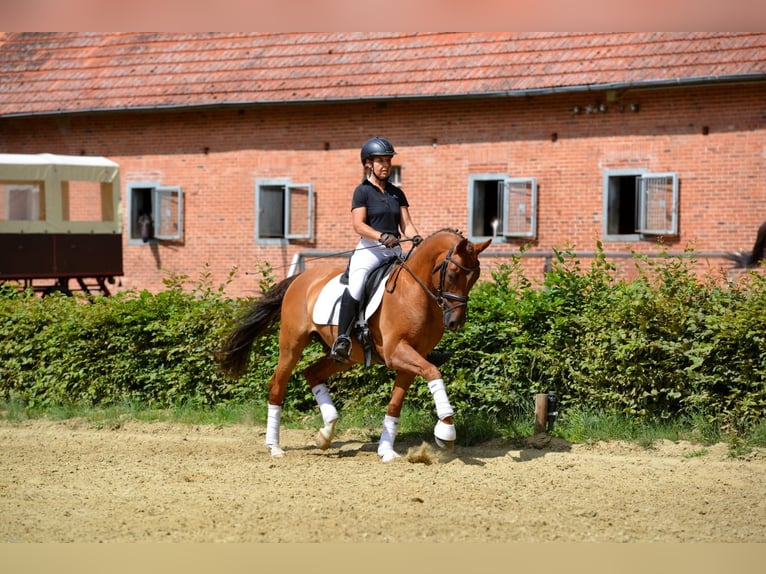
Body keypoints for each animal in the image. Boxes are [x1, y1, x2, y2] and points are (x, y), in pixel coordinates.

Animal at [217, 228, 492, 462]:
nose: (455, 322)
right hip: (292, 344)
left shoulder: (414, 357)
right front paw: (446, 432)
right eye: (454, 274)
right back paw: (274, 446)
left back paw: (325, 434)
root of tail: (301, 278)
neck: (415, 291)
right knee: (278, 384)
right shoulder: (396, 352)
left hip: (345, 356)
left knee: (312, 373)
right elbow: (434, 372)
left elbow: (396, 403)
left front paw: (386, 450)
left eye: (475, 277)